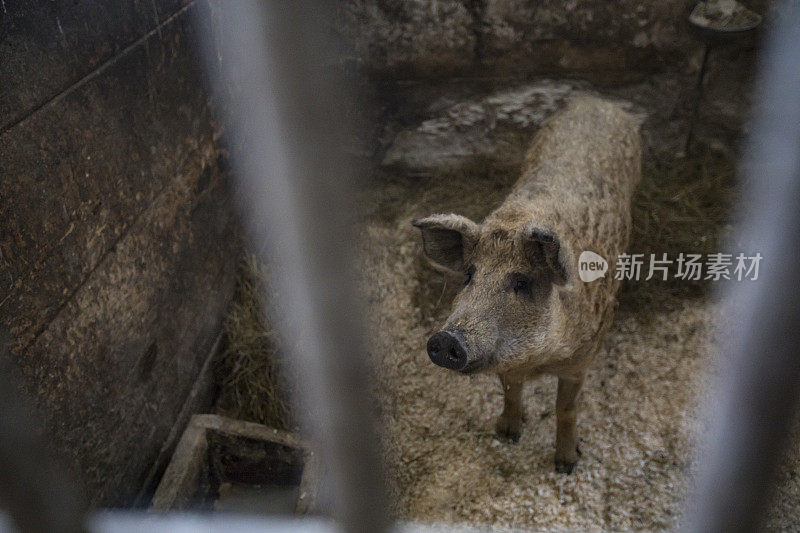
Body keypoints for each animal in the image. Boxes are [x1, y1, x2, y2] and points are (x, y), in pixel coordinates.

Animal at [410, 94, 640, 470]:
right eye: (470, 274)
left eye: (521, 282)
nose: (446, 338)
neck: (537, 361)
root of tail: (597, 101)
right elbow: (510, 390)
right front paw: (506, 434)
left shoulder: (582, 359)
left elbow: (566, 408)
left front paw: (566, 466)